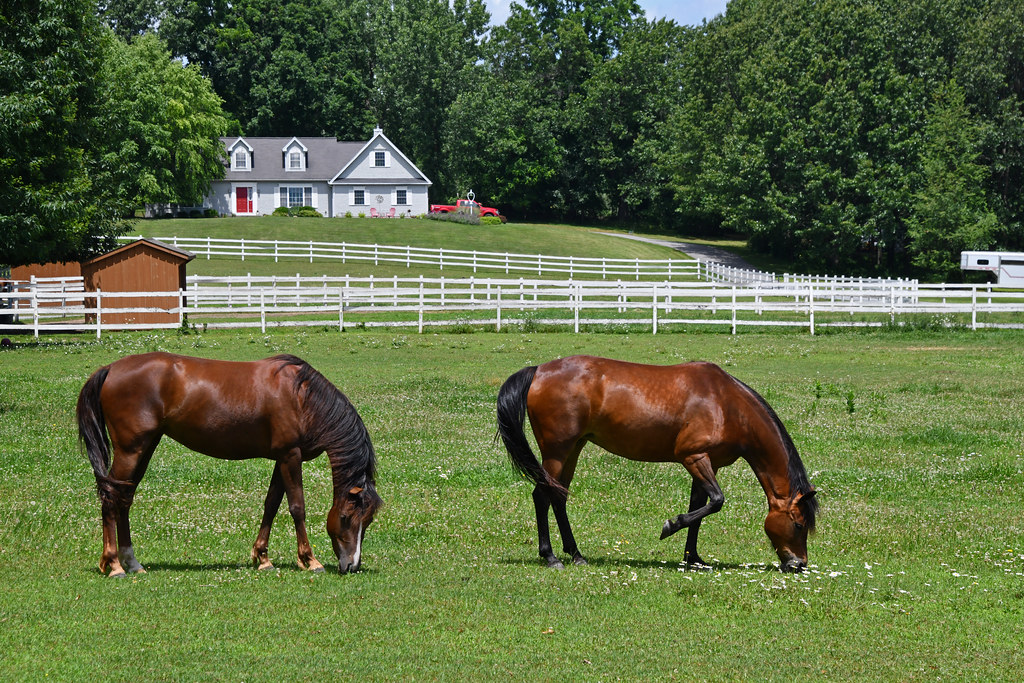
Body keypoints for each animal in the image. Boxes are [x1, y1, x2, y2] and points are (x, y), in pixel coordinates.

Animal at [77, 352, 382, 577]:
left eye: (367, 521)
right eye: (346, 517)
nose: (352, 565)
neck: (302, 397)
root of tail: (110, 369)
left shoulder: (281, 458)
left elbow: (271, 504)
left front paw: (263, 558)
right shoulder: (290, 456)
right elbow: (297, 507)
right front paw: (310, 560)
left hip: (144, 448)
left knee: (124, 498)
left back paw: (132, 562)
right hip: (131, 451)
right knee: (110, 498)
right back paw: (114, 565)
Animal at [496, 355, 817, 572]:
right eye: (799, 524)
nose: (798, 564)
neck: (726, 404)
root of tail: (538, 371)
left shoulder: (706, 463)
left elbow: (699, 508)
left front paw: (693, 559)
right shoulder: (694, 457)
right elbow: (715, 501)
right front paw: (669, 526)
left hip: (573, 448)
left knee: (558, 495)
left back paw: (576, 554)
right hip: (557, 451)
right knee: (542, 496)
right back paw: (551, 557)